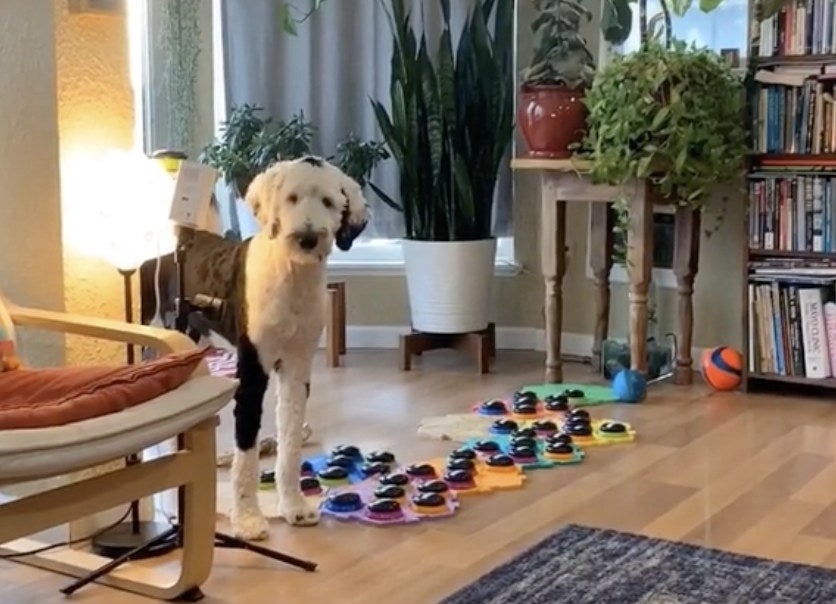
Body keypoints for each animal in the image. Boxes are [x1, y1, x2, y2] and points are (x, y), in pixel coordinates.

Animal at [181, 155, 368, 536]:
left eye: (329, 202)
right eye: (291, 198)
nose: (308, 238)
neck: (292, 276)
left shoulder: (297, 369)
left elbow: (291, 443)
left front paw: (294, 506)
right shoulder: (253, 372)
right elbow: (247, 452)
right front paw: (248, 518)